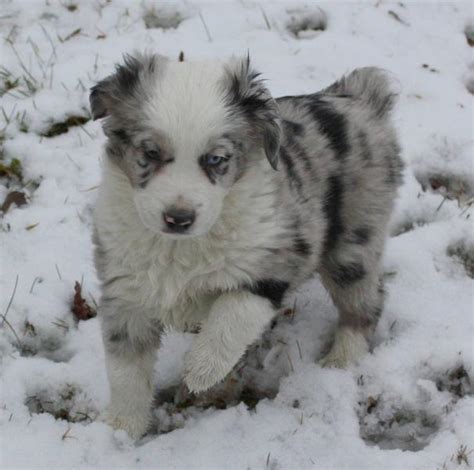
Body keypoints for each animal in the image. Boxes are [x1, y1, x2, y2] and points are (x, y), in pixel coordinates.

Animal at [90, 53, 404, 438]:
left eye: (216, 159)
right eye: (149, 152)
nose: (178, 218)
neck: (181, 247)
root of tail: (357, 97)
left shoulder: (278, 255)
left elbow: (234, 313)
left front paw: (201, 370)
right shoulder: (125, 290)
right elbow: (126, 369)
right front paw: (119, 431)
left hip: (354, 240)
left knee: (365, 303)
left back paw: (341, 360)